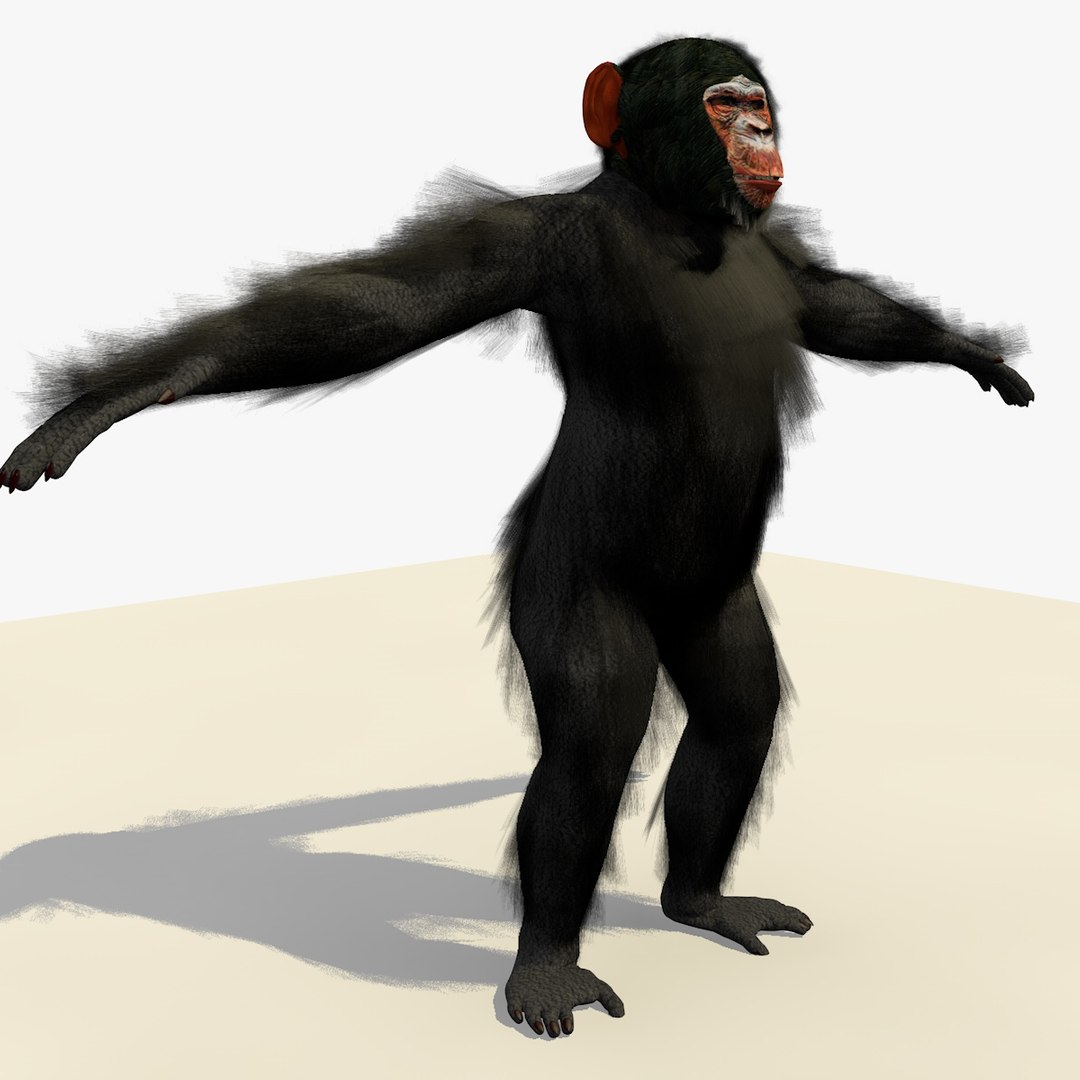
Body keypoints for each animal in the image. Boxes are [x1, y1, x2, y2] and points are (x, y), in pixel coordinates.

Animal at [0, 37, 1031, 1038]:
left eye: (756, 104)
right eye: (724, 105)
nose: (762, 134)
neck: (679, 223)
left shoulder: (768, 246)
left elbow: (832, 306)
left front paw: (978, 356)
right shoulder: (537, 241)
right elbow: (378, 306)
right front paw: (108, 399)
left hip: (714, 600)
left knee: (737, 715)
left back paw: (699, 902)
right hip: (569, 581)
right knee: (588, 749)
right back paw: (546, 968)